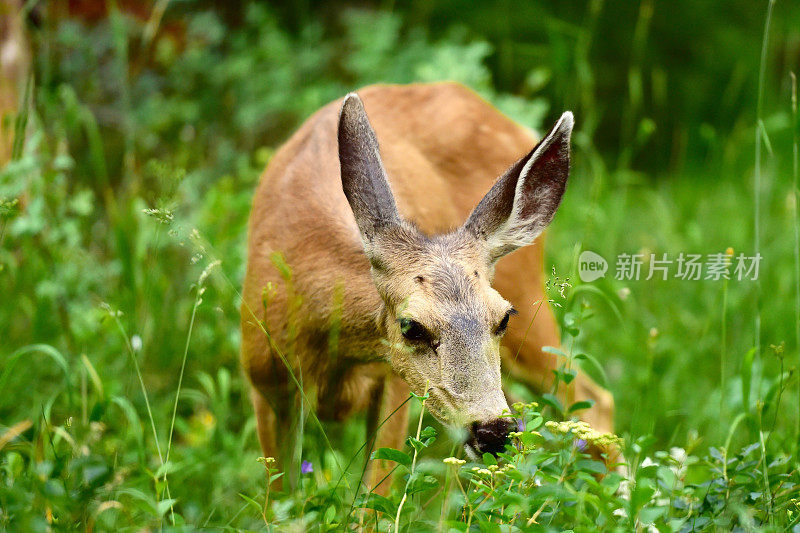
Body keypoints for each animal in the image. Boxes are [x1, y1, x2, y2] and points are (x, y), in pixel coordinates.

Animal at [239, 80, 612, 490]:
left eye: (503, 317)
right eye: (411, 326)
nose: (494, 433)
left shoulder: (394, 384)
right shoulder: (265, 382)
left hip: (528, 295)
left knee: (593, 402)